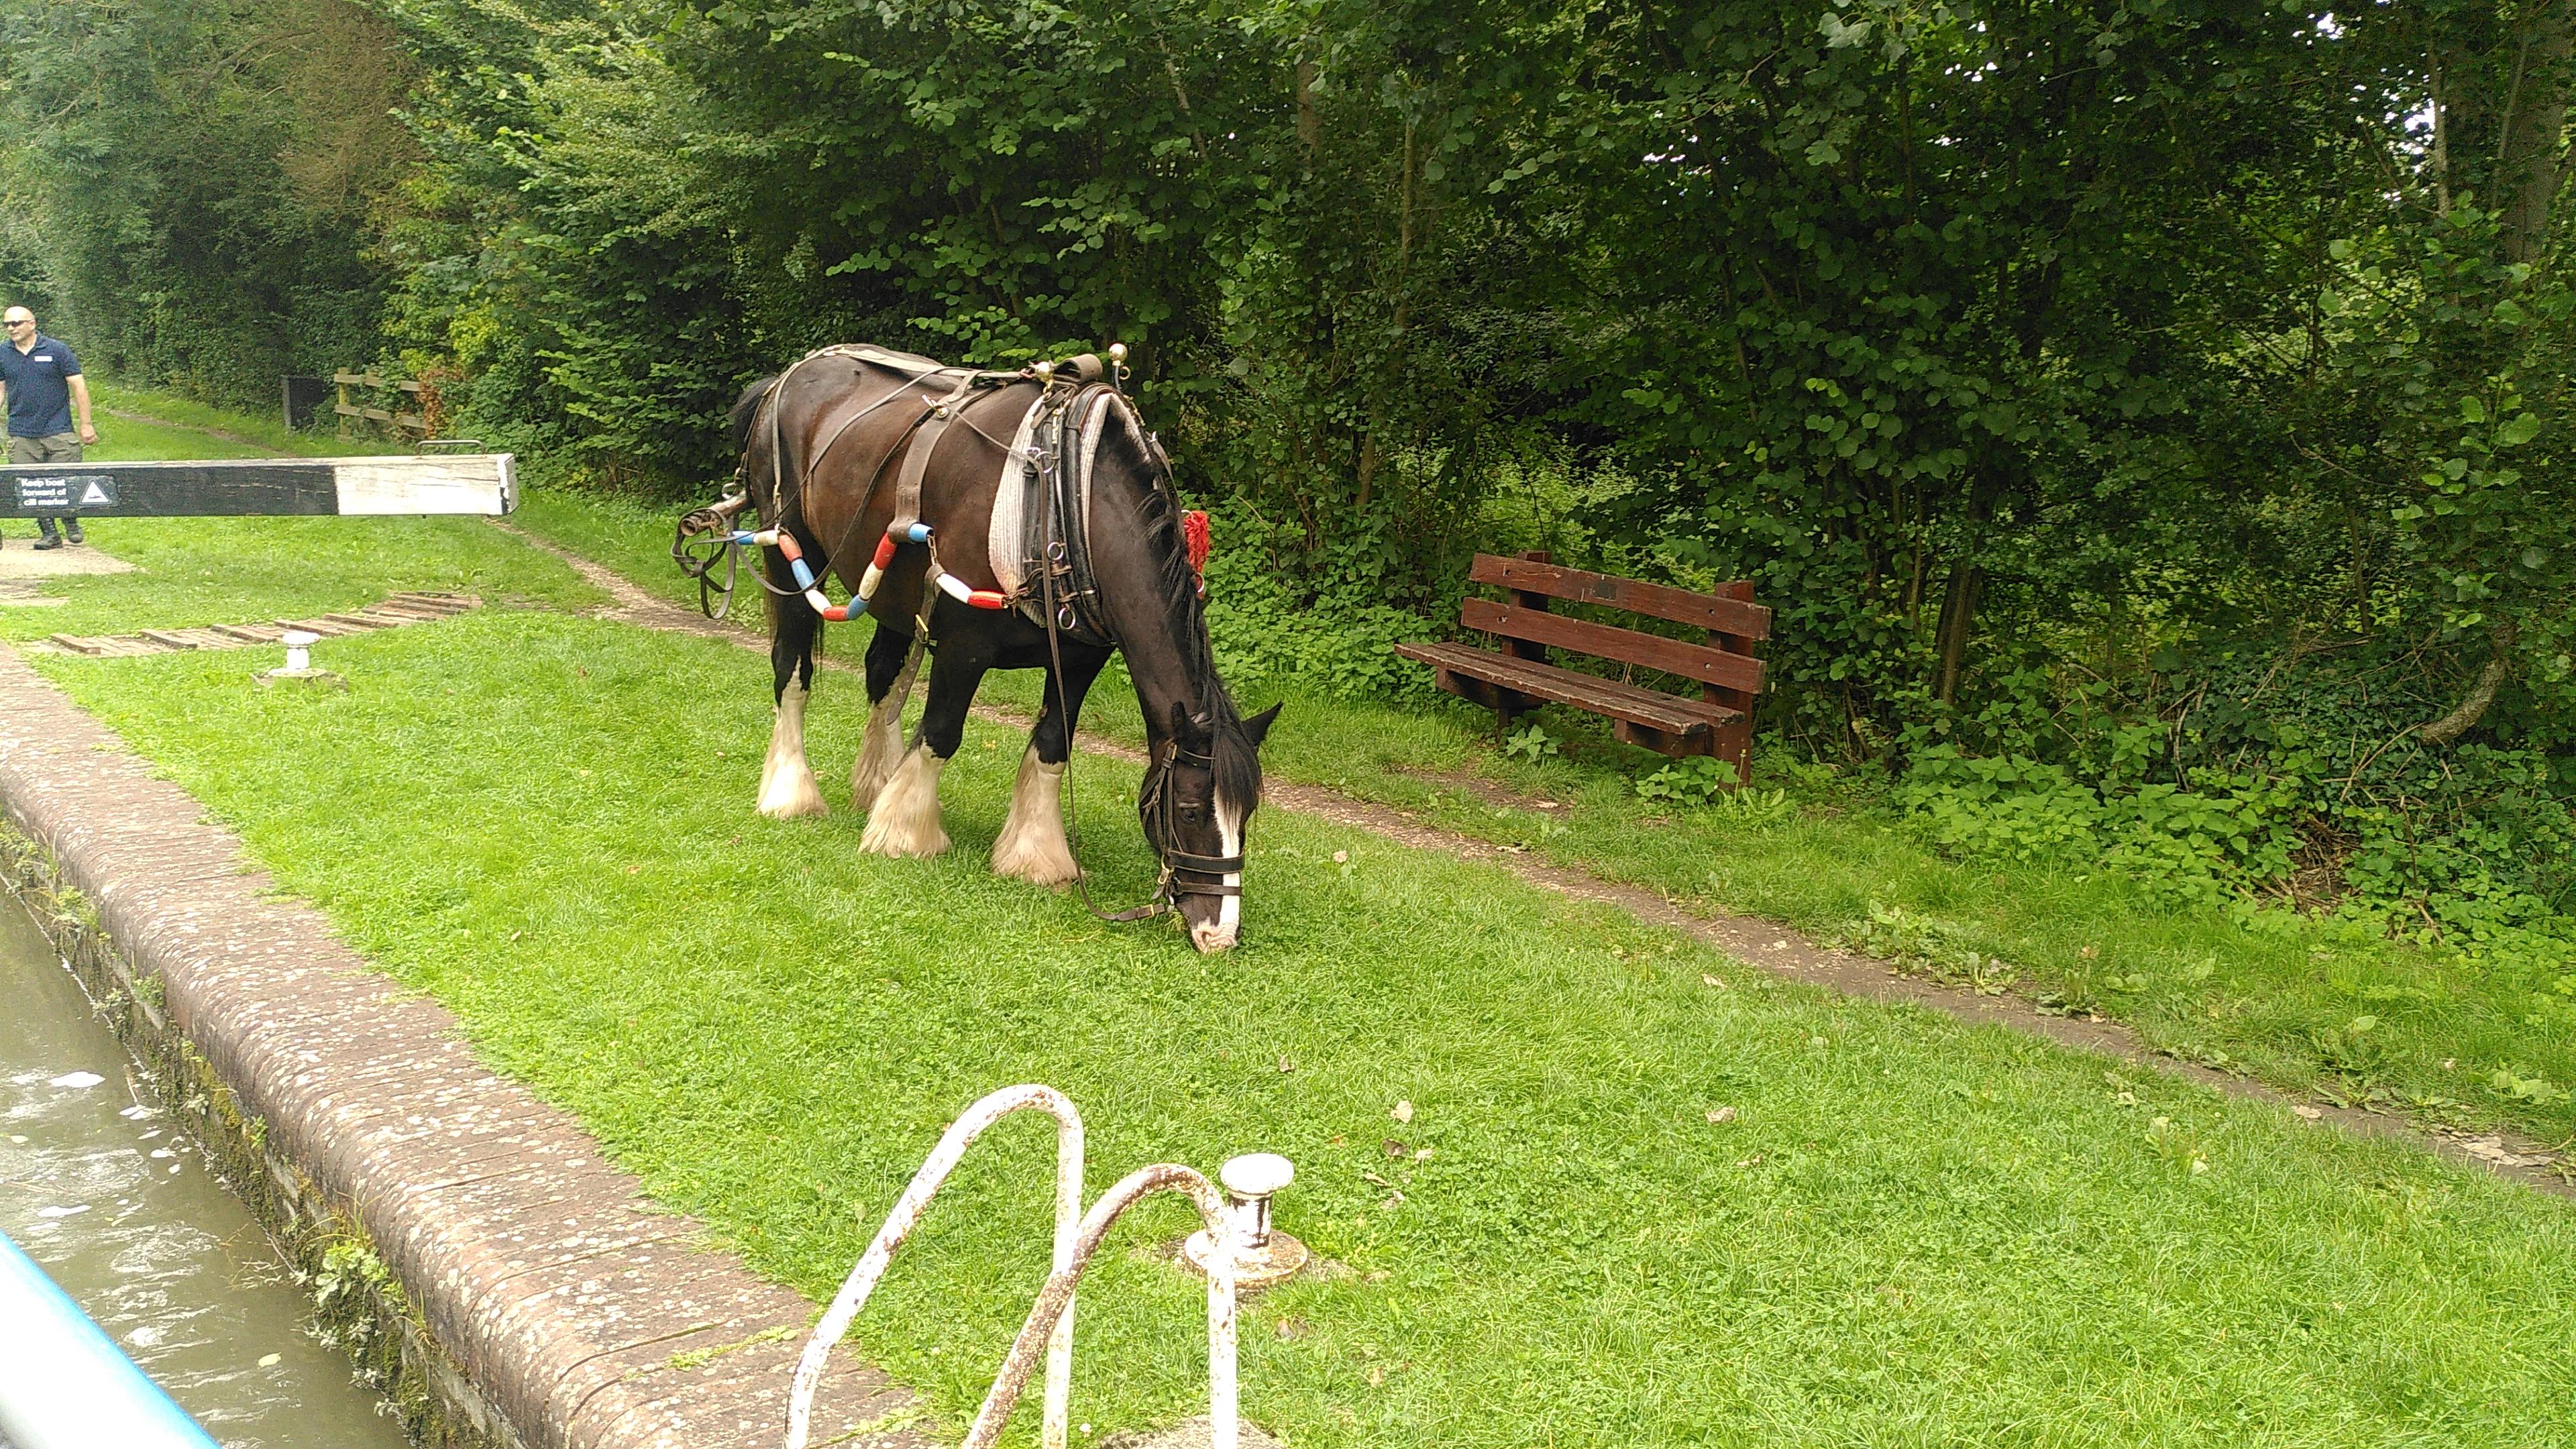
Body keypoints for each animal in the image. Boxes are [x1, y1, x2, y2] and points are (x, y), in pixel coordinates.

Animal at [716, 344, 1279, 953]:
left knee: (881, 675)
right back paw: (791, 793)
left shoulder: (1080, 659)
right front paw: (904, 832)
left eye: (1248, 814)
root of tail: (787, 378)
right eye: (1191, 811)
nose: (1220, 933)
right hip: (786, 550)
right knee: (792, 671)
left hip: (892, 589)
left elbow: (1053, 746)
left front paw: (1036, 855)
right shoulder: (964, 646)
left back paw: (875, 783)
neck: (1066, 501)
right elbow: (941, 734)